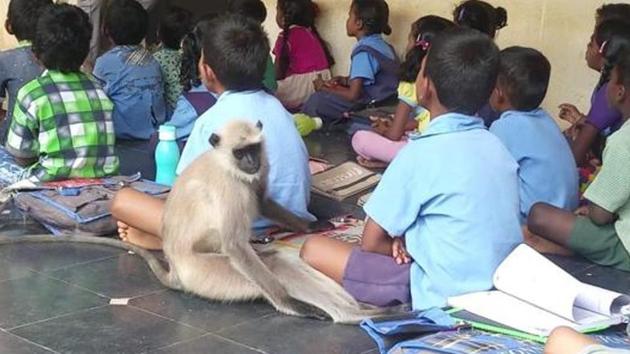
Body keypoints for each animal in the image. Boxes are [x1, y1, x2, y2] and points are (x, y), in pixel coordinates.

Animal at [0, 121, 396, 324]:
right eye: (240, 151)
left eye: (253, 149)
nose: (250, 162)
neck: (226, 164)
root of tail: (177, 271)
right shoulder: (229, 187)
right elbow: (235, 243)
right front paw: (291, 305)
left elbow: (262, 200)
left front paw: (310, 226)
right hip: (213, 276)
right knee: (269, 268)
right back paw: (350, 315)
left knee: (277, 260)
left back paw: (365, 311)